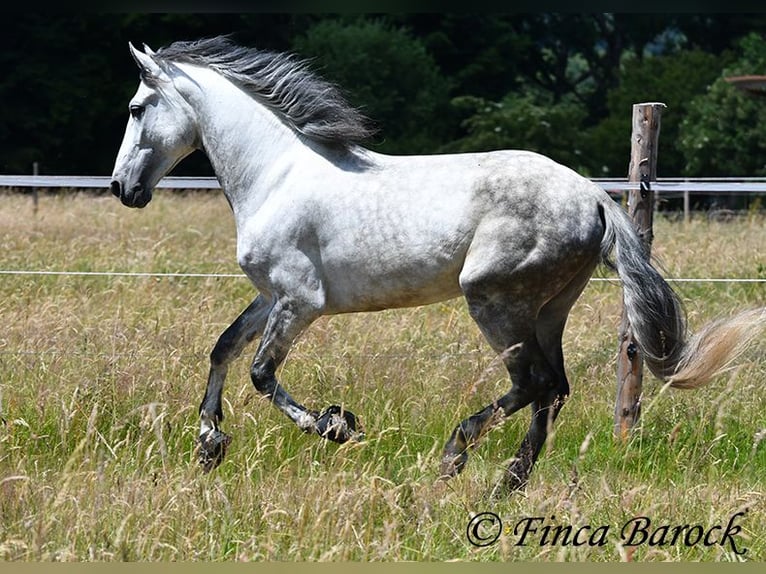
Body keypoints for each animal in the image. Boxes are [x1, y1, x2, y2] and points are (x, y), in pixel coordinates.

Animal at [109, 36, 764, 494]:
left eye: (138, 108)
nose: (123, 189)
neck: (275, 176)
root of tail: (594, 197)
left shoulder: (300, 302)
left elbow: (262, 374)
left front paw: (338, 426)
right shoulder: (270, 296)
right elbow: (223, 349)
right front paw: (209, 445)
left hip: (494, 300)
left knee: (533, 384)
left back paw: (456, 458)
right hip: (548, 310)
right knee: (553, 390)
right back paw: (507, 483)